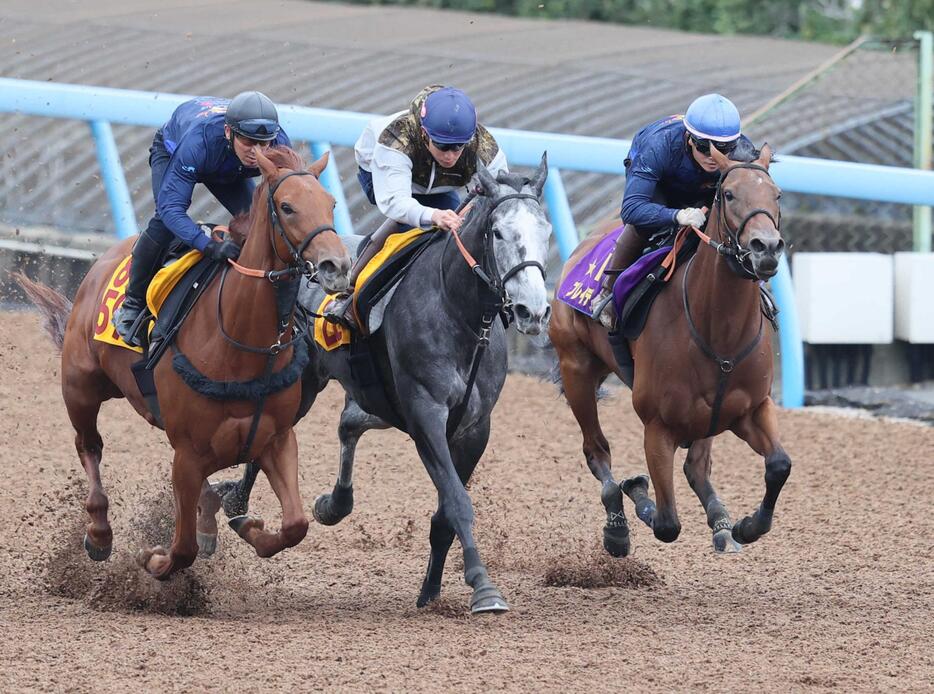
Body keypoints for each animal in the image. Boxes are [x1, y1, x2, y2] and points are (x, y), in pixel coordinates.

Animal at [18, 147, 354, 580]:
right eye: (287, 206)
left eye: (331, 204)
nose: (338, 265)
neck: (241, 345)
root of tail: (100, 265)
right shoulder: (188, 453)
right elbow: (182, 549)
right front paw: (154, 559)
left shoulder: (276, 438)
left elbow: (295, 525)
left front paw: (249, 528)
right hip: (80, 387)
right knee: (89, 446)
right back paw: (99, 533)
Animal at [218, 156, 556, 616]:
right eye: (499, 232)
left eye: (546, 231)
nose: (532, 311)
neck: (459, 313)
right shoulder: (425, 414)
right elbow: (458, 502)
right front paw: (484, 587)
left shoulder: (473, 428)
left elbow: (445, 512)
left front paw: (431, 590)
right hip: (304, 382)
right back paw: (236, 500)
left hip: (372, 396)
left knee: (348, 423)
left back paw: (332, 502)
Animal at [552, 145, 792, 560]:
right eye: (729, 195)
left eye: (776, 194)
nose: (766, 248)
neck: (719, 332)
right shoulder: (657, 426)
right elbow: (667, 523)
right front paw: (638, 490)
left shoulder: (752, 408)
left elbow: (779, 464)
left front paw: (746, 526)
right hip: (576, 369)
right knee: (596, 451)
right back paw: (617, 526)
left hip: (709, 416)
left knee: (697, 466)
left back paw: (722, 525)